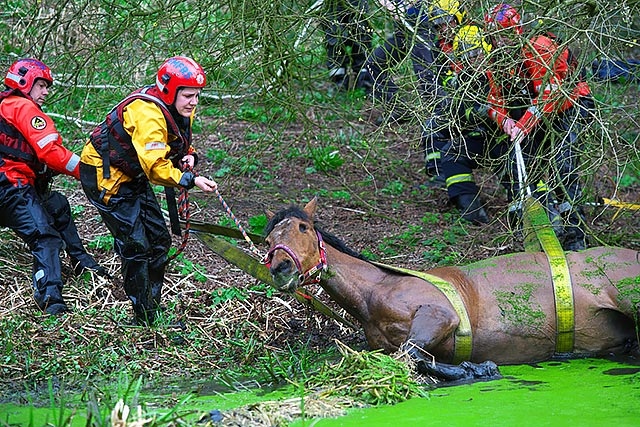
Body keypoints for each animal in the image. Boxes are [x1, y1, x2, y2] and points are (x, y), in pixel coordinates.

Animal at [262, 197, 640, 382]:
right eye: (267, 240)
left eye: (303, 227)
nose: (281, 268)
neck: (376, 291)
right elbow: (411, 358)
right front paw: (472, 369)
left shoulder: (439, 315)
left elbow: (410, 355)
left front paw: (476, 369)